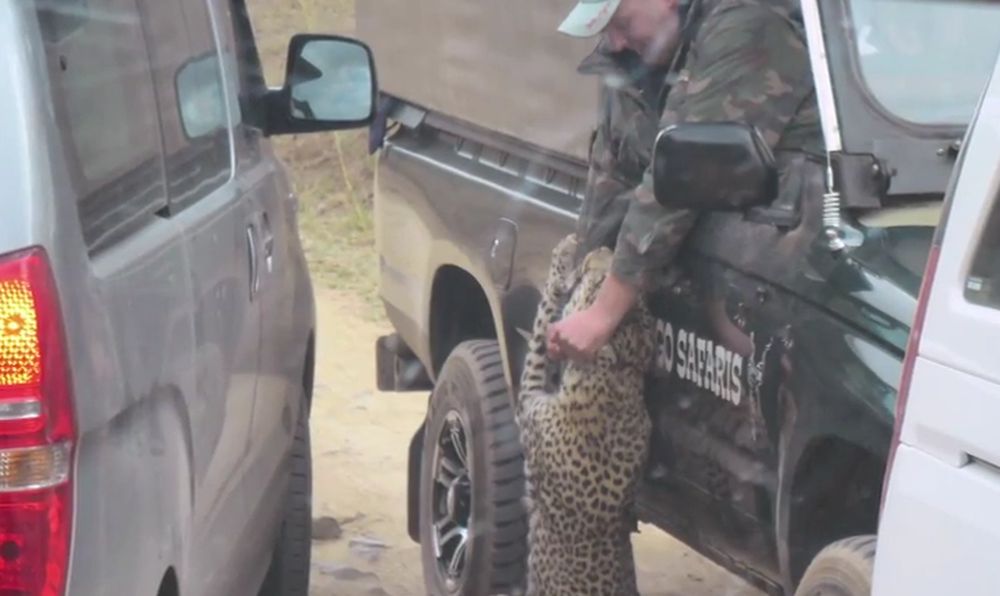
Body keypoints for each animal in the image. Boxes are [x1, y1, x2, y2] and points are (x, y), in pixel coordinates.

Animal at [516, 233, 656, 596]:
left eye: (597, 285)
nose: (605, 248)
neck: (619, 377)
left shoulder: (528, 400)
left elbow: (541, 329)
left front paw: (562, 257)